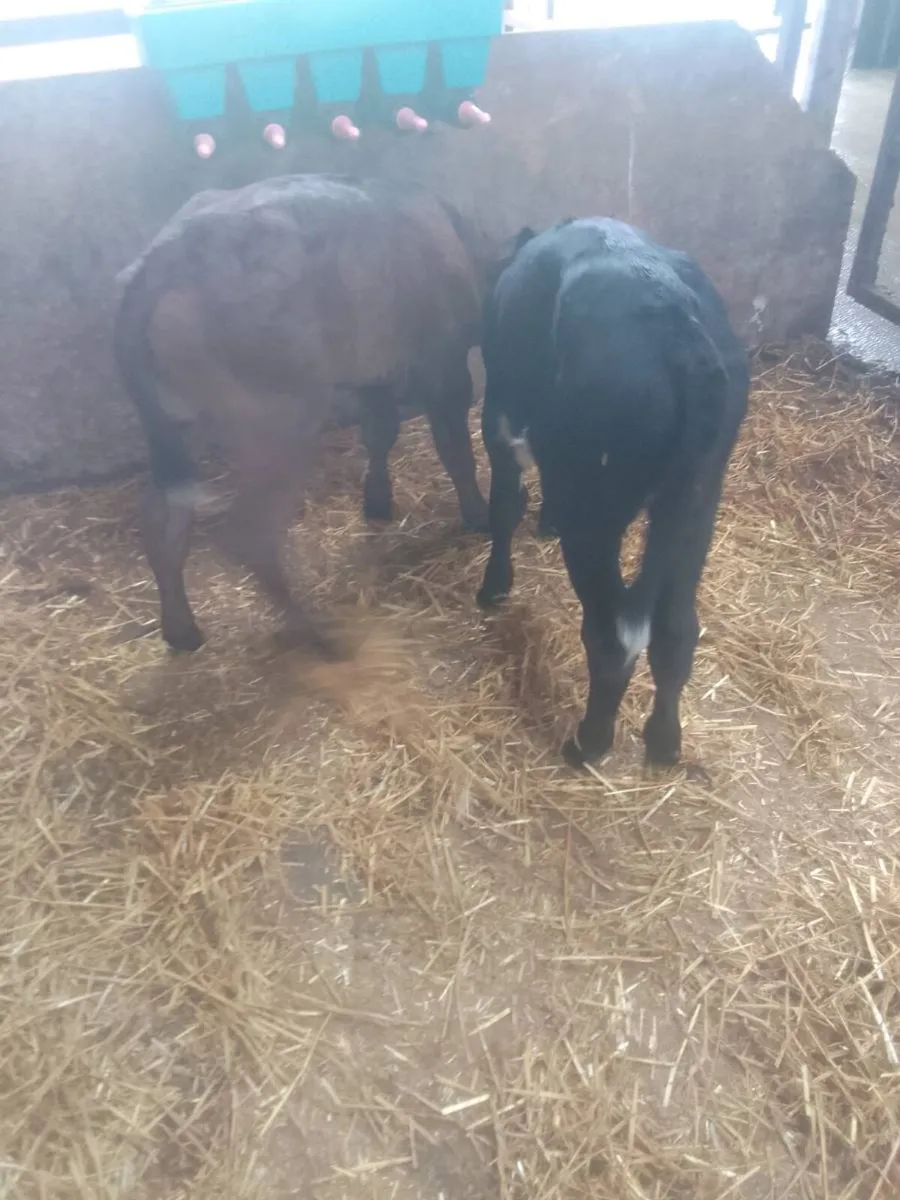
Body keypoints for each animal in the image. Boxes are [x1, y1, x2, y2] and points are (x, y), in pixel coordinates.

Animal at [114, 174, 491, 656]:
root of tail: (170, 253)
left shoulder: (373, 376)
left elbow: (380, 431)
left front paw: (378, 500)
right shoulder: (444, 365)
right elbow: (455, 450)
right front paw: (479, 514)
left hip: (181, 423)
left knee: (162, 515)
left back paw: (182, 629)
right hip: (282, 421)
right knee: (251, 533)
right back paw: (319, 636)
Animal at [476, 218, 749, 768]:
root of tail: (675, 330)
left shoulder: (498, 421)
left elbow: (505, 506)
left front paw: (494, 585)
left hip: (596, 507)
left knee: (612, 637)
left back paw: (589, 742)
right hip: (696, 501)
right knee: (675, 629)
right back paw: (664, 742)